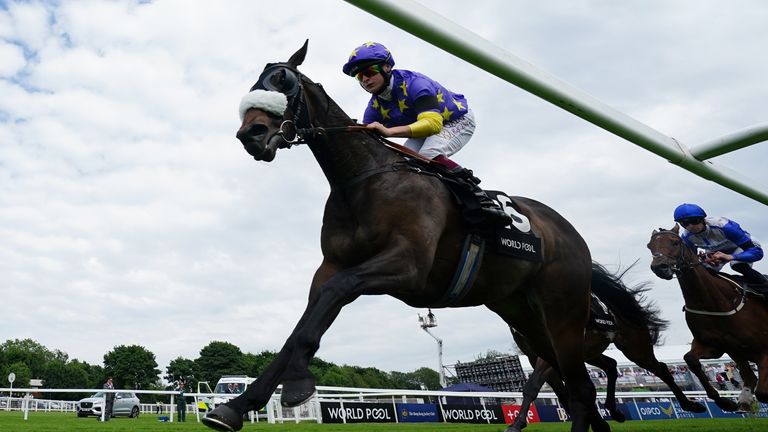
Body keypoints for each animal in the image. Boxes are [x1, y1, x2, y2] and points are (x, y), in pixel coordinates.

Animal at [202, 40, 608, 432]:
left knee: (581, 385)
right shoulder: (331, 266)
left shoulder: (407, 266)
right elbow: (303, 324)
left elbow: (332, 295)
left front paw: (297, 384)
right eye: (255, 84)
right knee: (574, 384)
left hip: (564, 311)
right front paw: (237, 406)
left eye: (283, 80)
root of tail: (571, 233)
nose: (250, 134)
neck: (361, 179)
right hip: (524, 317)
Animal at [508, 260, 704, 432]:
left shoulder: (552, 348)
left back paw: (690, 405)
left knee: (661, 369)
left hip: (635, 348)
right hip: (590, 352)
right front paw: (596, 422)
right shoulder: (535, 355)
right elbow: (560, 392)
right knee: (611, 365)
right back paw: (614, 410)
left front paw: (516, 424)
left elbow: (535, 385)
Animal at [648, 226, 768, 412]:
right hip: (738, 353)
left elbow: (763, 393)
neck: (714, 303)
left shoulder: (763, 350)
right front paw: (725, 402)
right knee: (749, 377)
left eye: (675, 242)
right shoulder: (715, 345)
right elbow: (691, 359)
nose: (659, 267)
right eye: (650, 246)